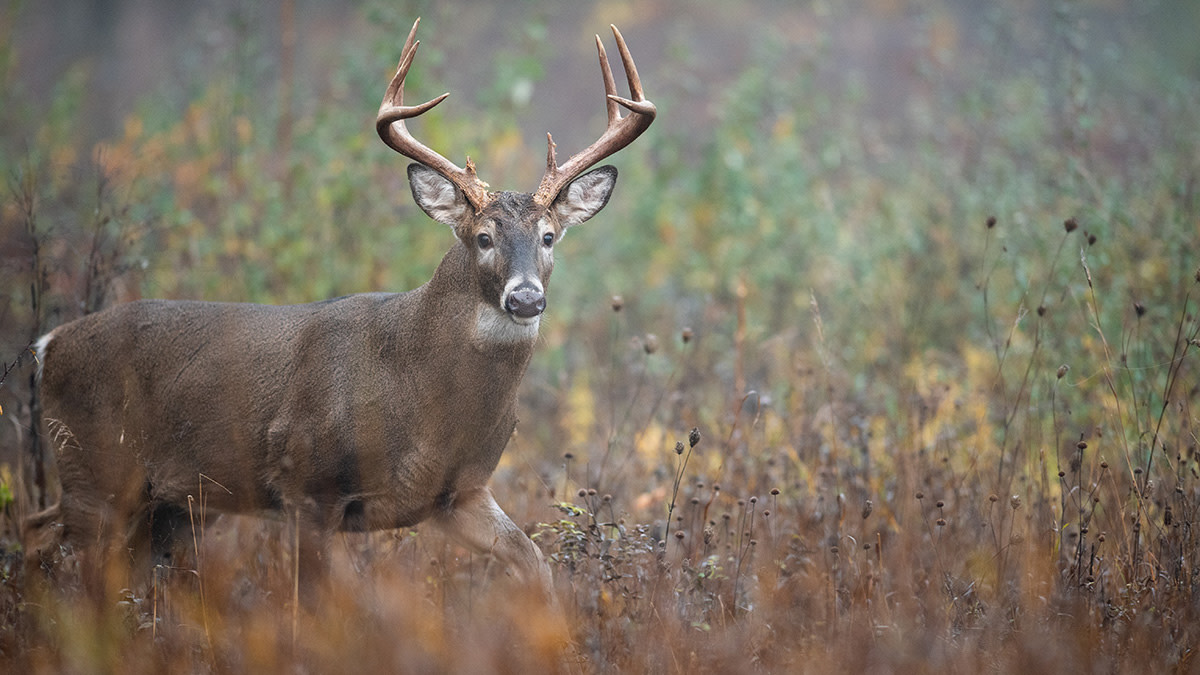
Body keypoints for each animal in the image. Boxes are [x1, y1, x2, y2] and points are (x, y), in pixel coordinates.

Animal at [22, 18, 655, 601]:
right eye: (481, 238)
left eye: (549, 236)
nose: (525, 297)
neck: (424, 401)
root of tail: (47, 346)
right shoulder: (307, 483)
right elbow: (319, 605)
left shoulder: (459, 493)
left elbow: (535, 564)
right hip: (96, 469)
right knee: (42, 538)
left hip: (169, 502)